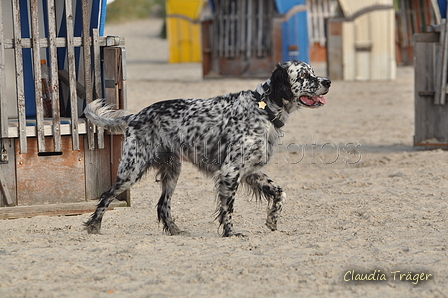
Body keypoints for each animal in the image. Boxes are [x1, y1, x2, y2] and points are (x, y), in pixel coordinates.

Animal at [84, 61, 330, 237]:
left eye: (313, 72)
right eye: (304, 76)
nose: (327, 81)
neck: (264, 109)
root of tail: (135, 116)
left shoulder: (250, 172)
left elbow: (280, 193)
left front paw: (272, 220)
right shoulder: (230, 172)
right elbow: (228, 209)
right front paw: (231, 233)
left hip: (172, 172)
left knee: (163, 206)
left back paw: (175, 231)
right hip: (132, 170)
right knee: (107, 195)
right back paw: (93, 226)